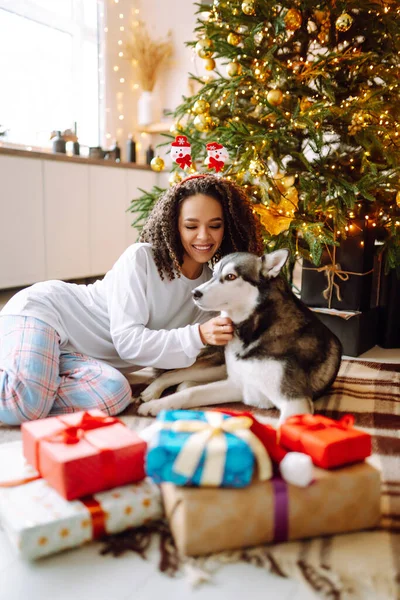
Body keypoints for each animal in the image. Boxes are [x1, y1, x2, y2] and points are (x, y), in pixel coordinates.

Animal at [139, 248, 342, 422]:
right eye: (213, 274)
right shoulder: (238, 384)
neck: (255, 328)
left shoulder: (294, 401)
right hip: (218, 368)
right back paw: (153, 392)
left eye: (230, 276)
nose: (194, 293)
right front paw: (156, 406)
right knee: (175, 374)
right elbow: (190, 394)